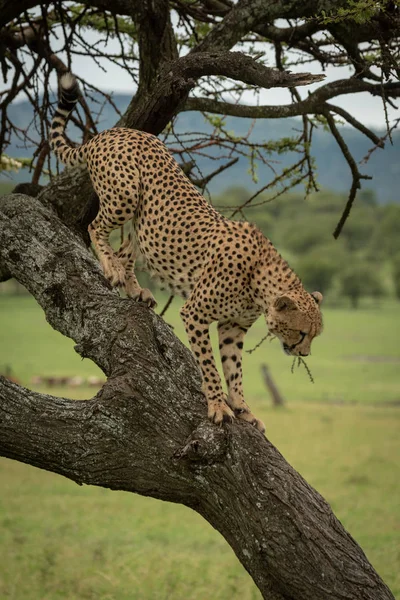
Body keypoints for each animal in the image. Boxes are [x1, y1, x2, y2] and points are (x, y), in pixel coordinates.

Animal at [50, 74, 324, 432]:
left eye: (314, 335)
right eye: (302, 332)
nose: (304, 354)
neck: (260, 284)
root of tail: (113, 132)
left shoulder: (234, 327)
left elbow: (234, 369)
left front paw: (243, 408)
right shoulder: (195, 313)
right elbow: (209, 365)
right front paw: (218, 406)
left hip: (146, 221)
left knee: (128, 247)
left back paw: (135, 289)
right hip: (125, 194)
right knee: (97, 227)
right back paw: (111, 269)